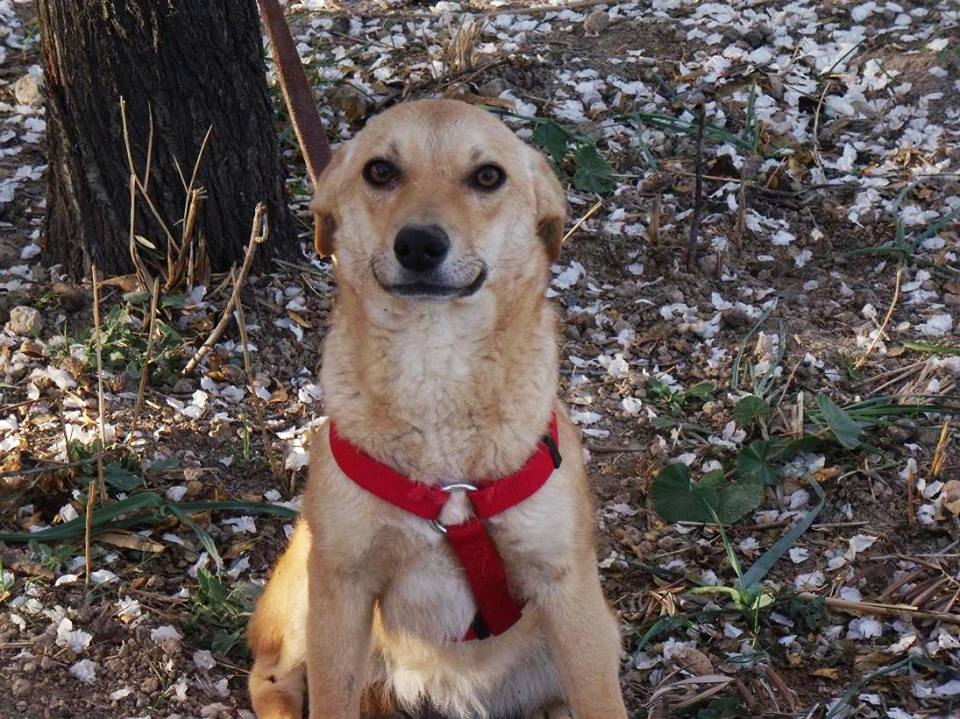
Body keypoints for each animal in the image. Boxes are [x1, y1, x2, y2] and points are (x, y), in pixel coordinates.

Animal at [247, 99, 628, 719]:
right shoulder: (343, 589)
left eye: (488, 176)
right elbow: (327, 697)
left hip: (594, 635)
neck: (435, 367)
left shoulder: (570, 594)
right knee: (273, 672)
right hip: (308, 591)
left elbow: (600, 702)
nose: (420, 245)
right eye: (380, 171)